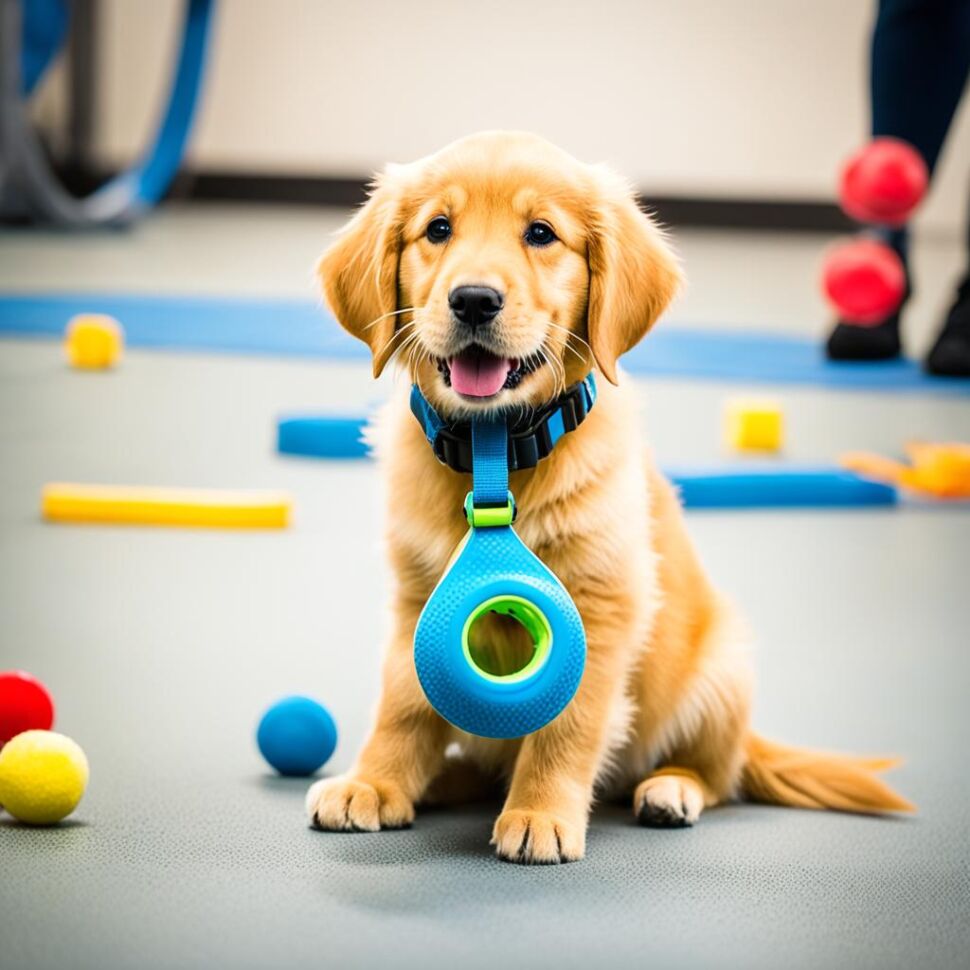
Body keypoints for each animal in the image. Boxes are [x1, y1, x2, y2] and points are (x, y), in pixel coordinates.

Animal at [306, 129, 912, 864]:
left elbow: (566, 724)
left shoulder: (603, 607)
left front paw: (539, 813)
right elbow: (403, 706)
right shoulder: (415, 597)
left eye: (541, 233)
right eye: (438, 230)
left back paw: (670, 790)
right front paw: (374, 782)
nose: (474, 299)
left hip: (721, 673)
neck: (496, 451)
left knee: (719, 777)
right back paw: (445, 781)